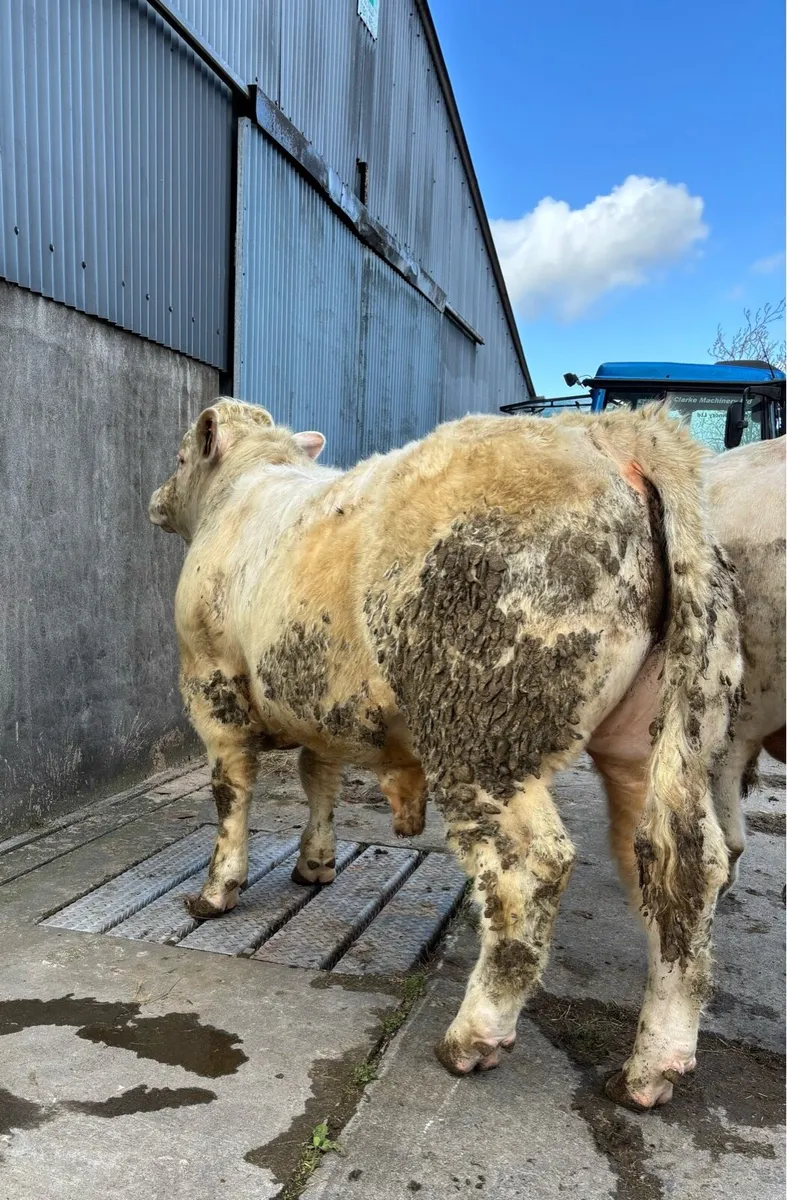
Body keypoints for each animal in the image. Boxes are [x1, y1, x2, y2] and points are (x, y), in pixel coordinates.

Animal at [149, 399, 742, 1110]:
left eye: (181, 455)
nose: (155, 499)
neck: (245, 488)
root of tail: (614, 431)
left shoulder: (212, 689)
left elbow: (230, 795)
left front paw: (216, 893)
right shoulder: (316, 701)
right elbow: (319, 778)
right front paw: (315, 865)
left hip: (482, 737)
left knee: (531, 869)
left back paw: (473, 1036)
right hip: (666, 732)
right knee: (678, 864)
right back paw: (651, 1067)